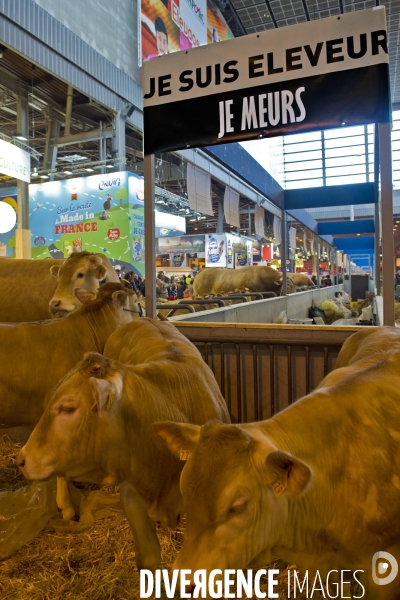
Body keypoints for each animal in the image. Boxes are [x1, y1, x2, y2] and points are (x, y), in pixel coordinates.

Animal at [18, 318, 230, 568]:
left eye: (68, 408)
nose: (22, 459)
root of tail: (141, 319)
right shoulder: (132, 496)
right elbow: (148, 559)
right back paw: (66, 505)